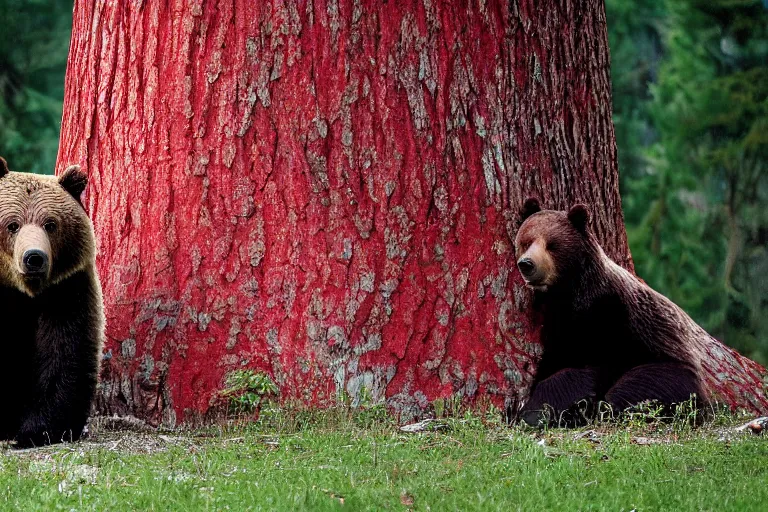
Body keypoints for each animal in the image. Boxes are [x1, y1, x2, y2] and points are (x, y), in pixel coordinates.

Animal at [0, 157, 104, 448]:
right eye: (12, 224)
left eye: (50, 224)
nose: (34, 257)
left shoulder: (65, 290)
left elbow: (64, 353)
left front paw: (39, 431)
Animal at [516, 198, 708, 426]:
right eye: (526, 242)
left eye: (552, 244)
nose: (527, 264)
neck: (570, 291)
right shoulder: (556, 322)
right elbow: (554, 361)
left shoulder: (607, 316)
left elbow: (585, 366)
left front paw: (534, 412)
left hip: (667, 368)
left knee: (634, 390)